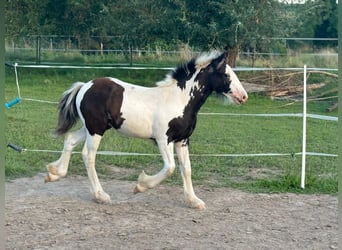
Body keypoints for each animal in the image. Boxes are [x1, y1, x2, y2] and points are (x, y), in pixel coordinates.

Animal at [46, 51, 248, 209]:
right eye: (226, 75)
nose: (244, 96)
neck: (179, 99)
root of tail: (85, 86)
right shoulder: (163, 139)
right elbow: (170, 167)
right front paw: (141, 185)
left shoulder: (182, 140)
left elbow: (186, 169)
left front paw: (194, 201)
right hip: (96, 129)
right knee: (88, 155)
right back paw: (100, 195)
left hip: (91, 127)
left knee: (70, 139)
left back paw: (53, 173)